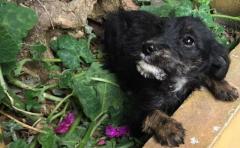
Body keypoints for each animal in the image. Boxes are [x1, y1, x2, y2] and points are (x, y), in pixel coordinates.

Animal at [103, 10, 238, 147]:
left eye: (188, 40)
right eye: (160, 31)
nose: (146, 47)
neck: (175, 80)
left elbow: (204, 72)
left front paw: (225, 87)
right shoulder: (135, 117)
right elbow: (152, 112)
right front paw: (170, 129)